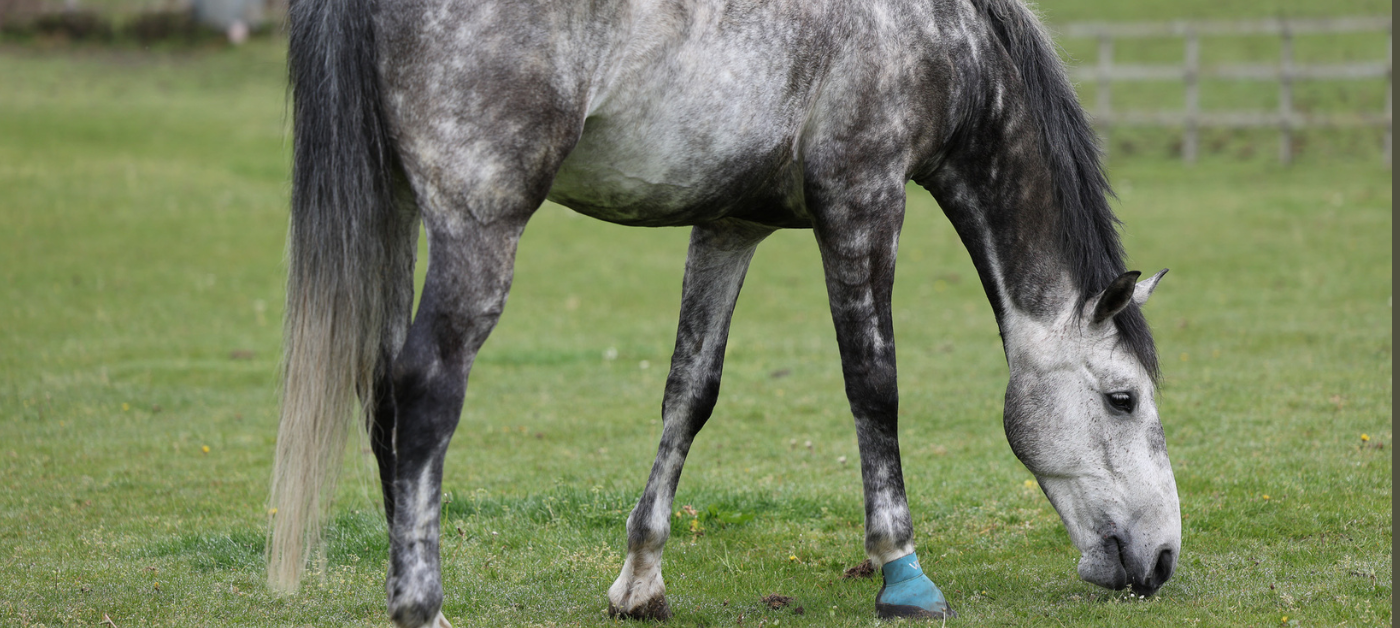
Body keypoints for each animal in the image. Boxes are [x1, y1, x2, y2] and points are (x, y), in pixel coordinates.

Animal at [264, 0, 1182, 625]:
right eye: (1122, 398)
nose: (1165, 557)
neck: (936, 35)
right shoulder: (864, 203)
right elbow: (874, 387)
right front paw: (903, 572)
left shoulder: (730, 227)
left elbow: (689, 394)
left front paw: (641, 577)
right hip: (478, 226)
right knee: (424, 394)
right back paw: (424, 609)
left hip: (396, 213)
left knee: (382, 394)